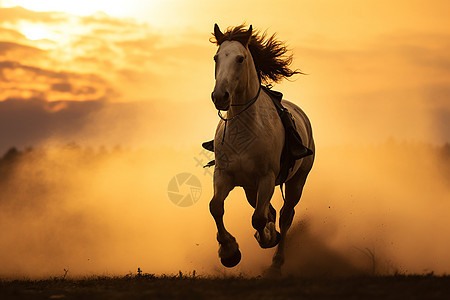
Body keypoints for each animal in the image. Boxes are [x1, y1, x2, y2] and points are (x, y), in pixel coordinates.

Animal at [209, 24, 314, 276]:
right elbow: (216, 207)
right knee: (272, 211)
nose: (220, 96)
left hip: (297, 181)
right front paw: (229, 252)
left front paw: (266, 237)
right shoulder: (224, 175)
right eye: (216, 57)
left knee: (285, 215)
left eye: (240, 58)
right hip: (249, 188)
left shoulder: (266, 178)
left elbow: (258, 218)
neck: (244, 130)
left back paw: (276, 261)